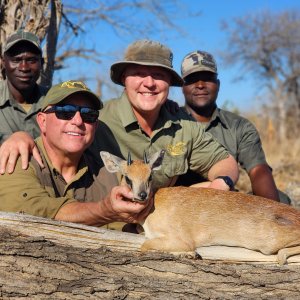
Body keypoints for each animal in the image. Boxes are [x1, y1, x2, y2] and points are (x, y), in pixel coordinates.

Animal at [100, 150, 300, 264]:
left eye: (150, 176)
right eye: (127, 177)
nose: (141, 195)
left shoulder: (181, 239)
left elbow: (144, 246)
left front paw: (191, 255)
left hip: (268, 244)